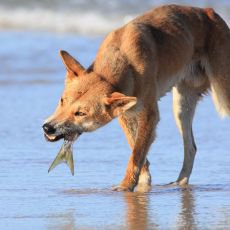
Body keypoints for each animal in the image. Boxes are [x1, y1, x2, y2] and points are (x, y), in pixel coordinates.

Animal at [42, 4, 230, 192]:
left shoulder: (149, 115)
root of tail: (209, 11)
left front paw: (126, 184)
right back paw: (180, 182)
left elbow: (137, 152)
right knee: (191, 148)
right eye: (62, 101)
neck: (125, 59)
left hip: (222, 95)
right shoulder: (126, 114)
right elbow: (136, 148)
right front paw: (143, 182)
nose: (47, 127)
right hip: (181, 107)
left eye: (80, 113)